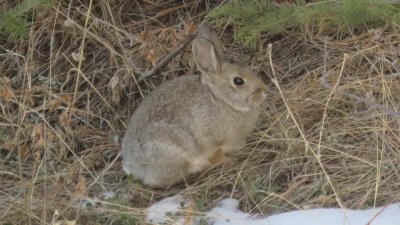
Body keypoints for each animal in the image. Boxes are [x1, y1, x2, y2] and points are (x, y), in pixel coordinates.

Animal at [120, 23, 268, 188]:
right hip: (176, 150)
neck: (220, 99)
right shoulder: (213, 141)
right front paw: (228, 162)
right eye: (238, 81)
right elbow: (217, 155)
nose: (264, 91)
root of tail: (133, 166)